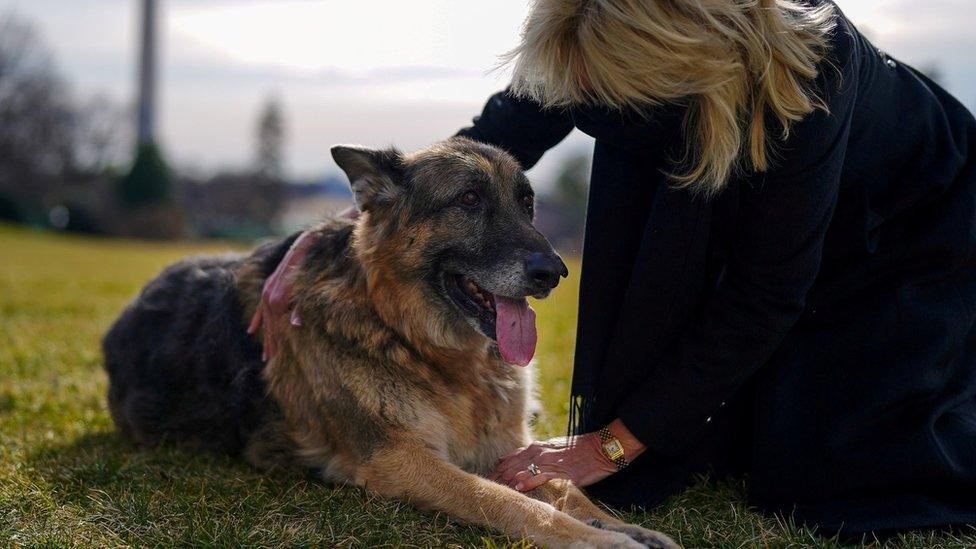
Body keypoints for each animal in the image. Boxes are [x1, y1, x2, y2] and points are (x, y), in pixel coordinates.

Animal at [101, 137, 680, 548]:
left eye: (527, 204)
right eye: (468, 200)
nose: (554, 272)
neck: (411, 337)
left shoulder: (508, 449)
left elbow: (566, 488)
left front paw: (624, 528)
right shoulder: (400, 459)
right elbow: (508, 502)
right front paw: (600, 542)